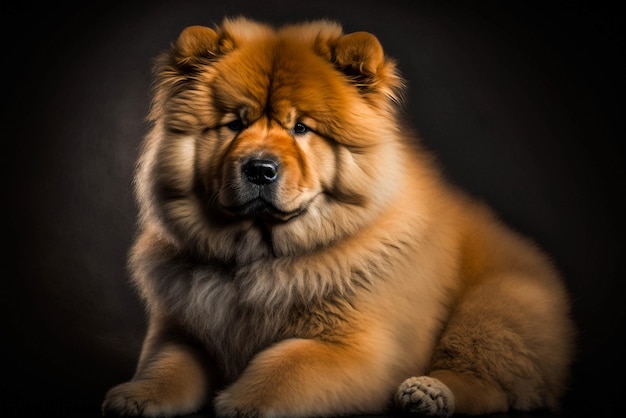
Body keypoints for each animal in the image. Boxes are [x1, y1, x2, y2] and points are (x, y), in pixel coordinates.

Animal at [102, 17, 576, 418]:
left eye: (301, 128)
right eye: (234, 124)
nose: (259, 168)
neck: (257, 258)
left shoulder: (358, 348)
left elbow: (287, 363)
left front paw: (243, 403)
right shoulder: (181, 329)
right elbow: (168, 365)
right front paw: (138, 396)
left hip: (494, 305)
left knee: (487, 382)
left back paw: (428, 394)